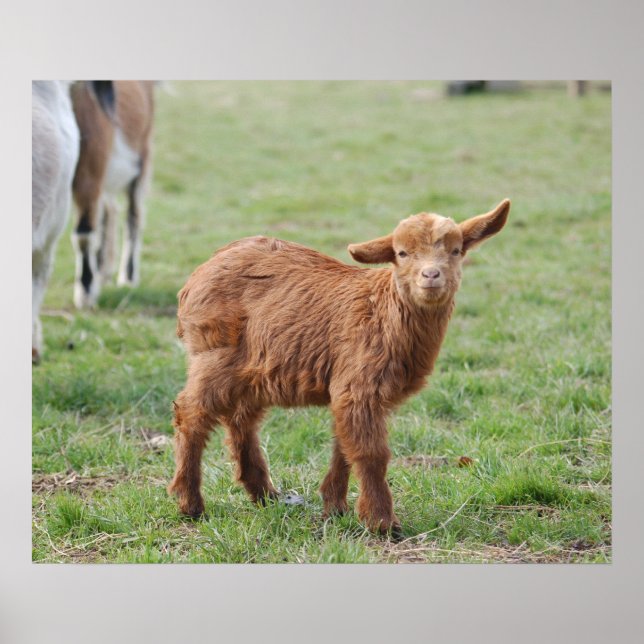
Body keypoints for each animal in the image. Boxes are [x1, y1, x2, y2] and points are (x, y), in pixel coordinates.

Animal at [70, 81, 155, 309]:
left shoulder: (89, 169)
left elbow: (83, 234)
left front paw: (85, 293)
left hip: (141, 154)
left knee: (133, 214)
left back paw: (127, 277)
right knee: (109, 209)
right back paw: (103, 269)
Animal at [168, 199, 510, 535]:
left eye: (456, 250)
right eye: (402, 253)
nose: (431, 275)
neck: (385, 311)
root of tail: (198, 275)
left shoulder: (349, 390)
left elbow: (344, 446)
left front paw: (335, 508)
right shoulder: (359, 385)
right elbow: (370, 453)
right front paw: (382, 523)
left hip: (252, 370)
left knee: (241, 419)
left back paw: (264, 495)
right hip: (213, 356)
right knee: (191, 413)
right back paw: (190, 503)